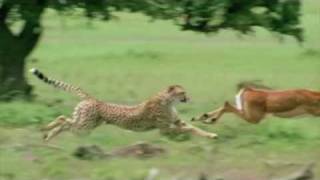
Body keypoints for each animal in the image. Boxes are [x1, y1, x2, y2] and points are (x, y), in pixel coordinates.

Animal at [30, 68, 218, 141]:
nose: (189, 98)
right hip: (84, 127)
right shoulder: (165, 128)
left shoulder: (177, 122)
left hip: (85, 124)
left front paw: (210, 135)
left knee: (63, 119)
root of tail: (93, 99)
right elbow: (186, 130)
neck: (168, 101)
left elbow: (194, 128)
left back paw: (46, 134)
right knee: (65, 122)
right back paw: (47, 133)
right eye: (182, 93)